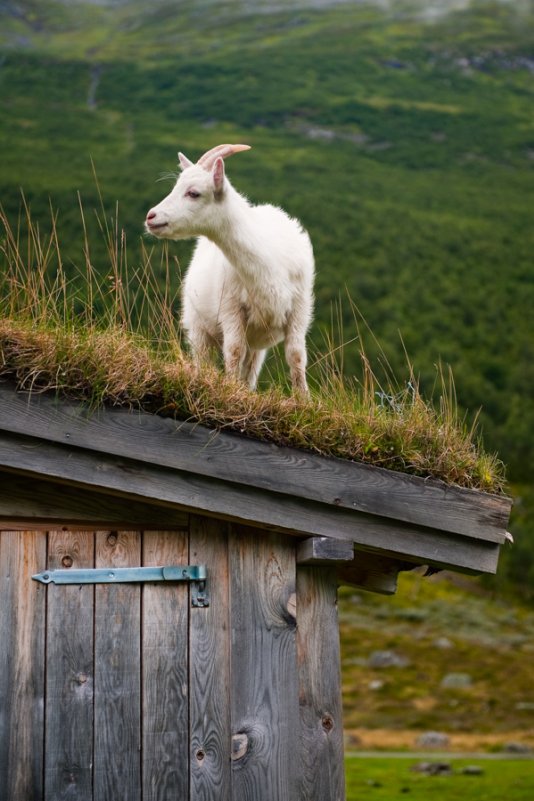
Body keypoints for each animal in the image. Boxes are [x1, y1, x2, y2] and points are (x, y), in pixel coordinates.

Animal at [144, 145, 316, 396]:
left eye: (193, 193)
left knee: (251, 366)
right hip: (197, 325)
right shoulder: (230, 306)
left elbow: (296, 355)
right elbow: (234, 351)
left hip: (257, 341)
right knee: (204, 358)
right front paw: (231, 390)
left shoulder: (299, 307)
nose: (151, 216)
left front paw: (303, 399)